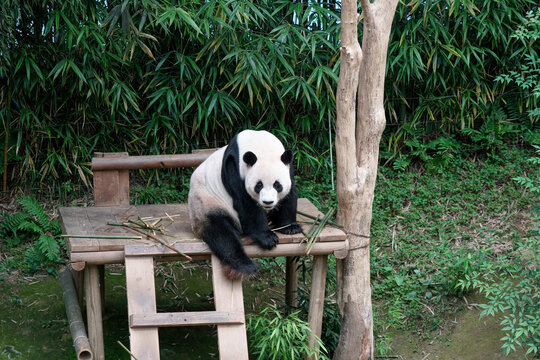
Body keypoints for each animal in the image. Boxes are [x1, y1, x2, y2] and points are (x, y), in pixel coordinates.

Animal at [188, 129, 302, 278]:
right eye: (259, 185)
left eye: (277, 185)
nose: (268, 202)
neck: (261, 146)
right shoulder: (234, 168)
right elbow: (246, 203)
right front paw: (267, 238)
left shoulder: (288, 167)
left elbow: (290, 193)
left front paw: (290, 227)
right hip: (206, 203)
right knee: (221, 232)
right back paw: (246, 266)